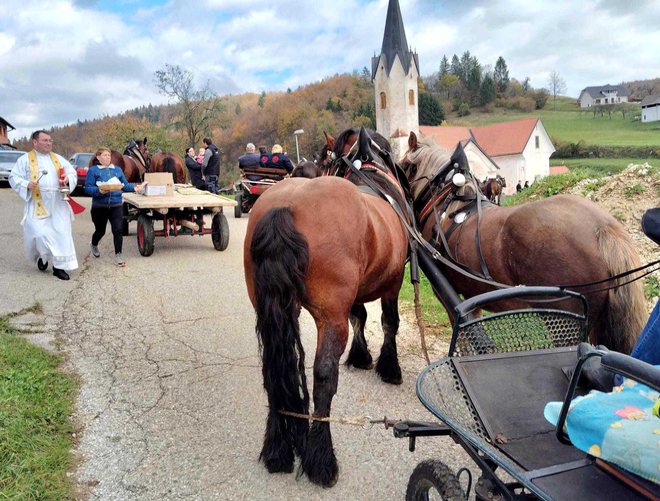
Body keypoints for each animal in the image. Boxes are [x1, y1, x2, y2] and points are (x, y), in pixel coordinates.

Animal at [242, 127, 408, 486]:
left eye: (321, 157)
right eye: (388, 151)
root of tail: (285, 206)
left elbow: (360, 315)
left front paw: (361, 356)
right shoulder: (394, 282)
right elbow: (389, 322)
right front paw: (388, 366)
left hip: (273, 310)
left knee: (273, 370)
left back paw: (277, 450)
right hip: (330, 319)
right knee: (323, 378)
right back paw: (322, 459)